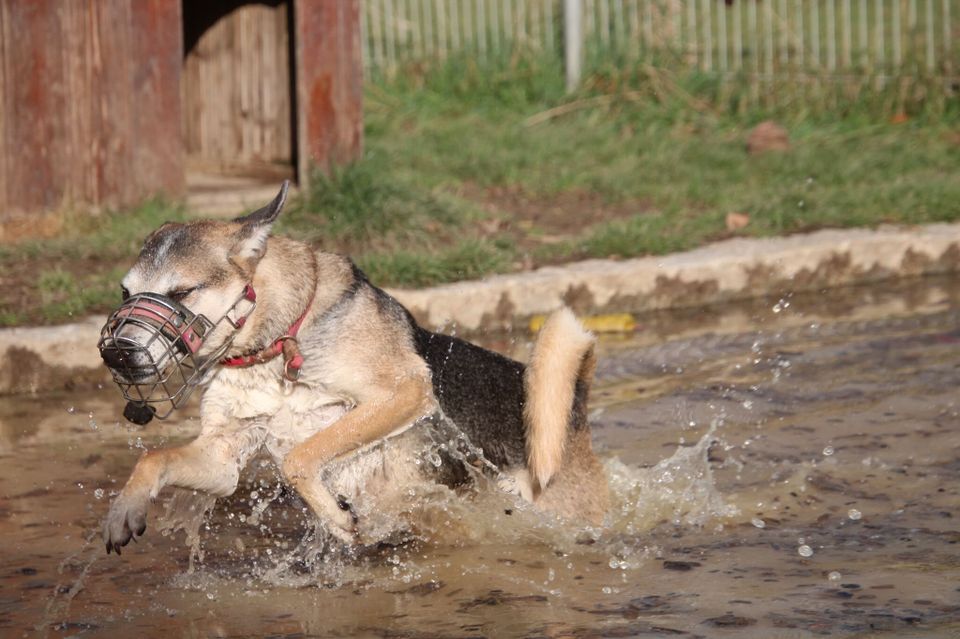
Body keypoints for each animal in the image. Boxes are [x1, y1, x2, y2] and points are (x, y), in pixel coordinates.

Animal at [97, 181, 608, 556]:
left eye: (182, 293)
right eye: (125, 293)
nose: (116, 354)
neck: (277, 341)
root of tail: (576, 408)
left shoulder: (403, 393)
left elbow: (300, 457)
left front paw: (335, 516)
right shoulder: (223, 456)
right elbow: (153, 458)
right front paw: (125, 509)